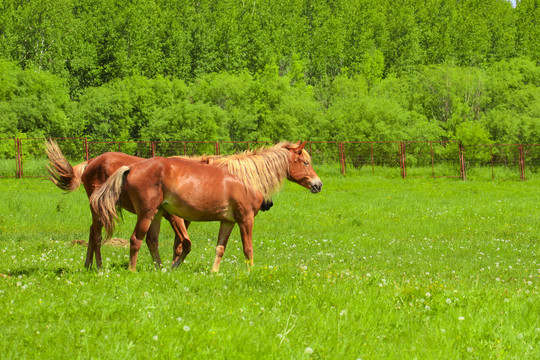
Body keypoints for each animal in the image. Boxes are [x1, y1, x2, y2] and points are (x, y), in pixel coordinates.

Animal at [90, 142, 322, 272]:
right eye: (305, 163)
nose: (318, 185)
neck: (245, 178)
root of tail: (132, 167)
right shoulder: (245, 219)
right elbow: (248, 249)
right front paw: (251, 272)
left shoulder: (228, 221)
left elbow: (220, 248)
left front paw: (214, 272)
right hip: (146, 214)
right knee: (135, 240)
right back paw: (132, 271)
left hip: (155, 214)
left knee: (151, 241)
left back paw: (160, 270)